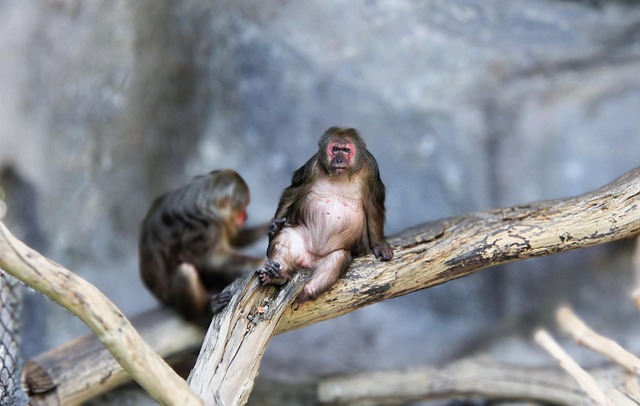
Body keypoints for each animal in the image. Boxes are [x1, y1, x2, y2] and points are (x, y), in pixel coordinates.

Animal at [139, 169, 267, 321]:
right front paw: (261, 262)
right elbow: (211, 261)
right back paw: (205, 310)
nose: (245, 216)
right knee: (185, 272)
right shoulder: (207, 228)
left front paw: (270, 226)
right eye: (241, 212)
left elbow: (234, 240)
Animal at [257, 126, 393, 301]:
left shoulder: (370, 170)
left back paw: (307, 290)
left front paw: (379, 245)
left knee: (338, 258)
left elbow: (373, 206)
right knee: (286, 236)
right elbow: (295, 191)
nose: (339, 160)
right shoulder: (312, 166)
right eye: (335, 149)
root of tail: (308, 261)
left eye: (346, 150)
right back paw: (278, 275)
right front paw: (273, 226)